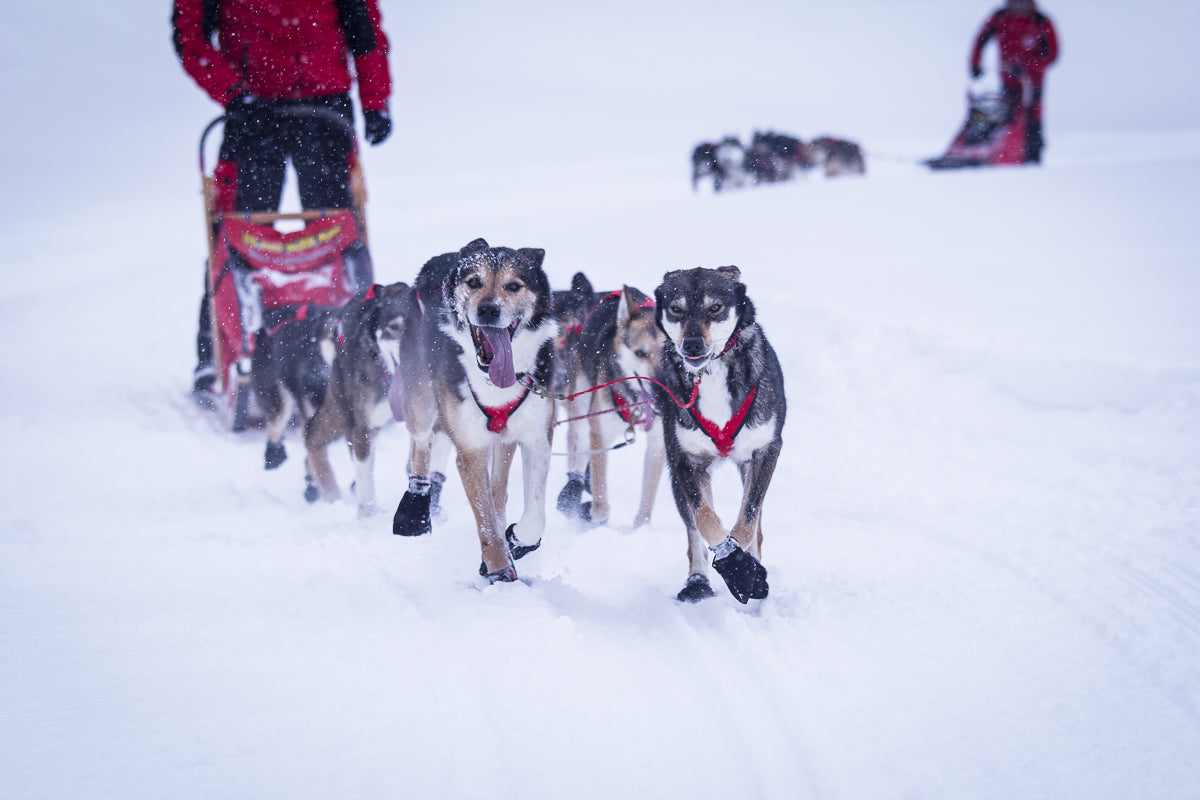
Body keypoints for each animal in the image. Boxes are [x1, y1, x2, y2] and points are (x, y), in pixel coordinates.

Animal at [302, 284, 424, 515]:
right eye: (394, 327)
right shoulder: (362, 429)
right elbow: (364, 475)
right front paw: (369, 515)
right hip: (349, 415)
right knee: (313, 433)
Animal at [396, 237, 559, 582]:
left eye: (514, 285)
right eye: (474, 282)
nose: (488, 309)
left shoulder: (537, 436)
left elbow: (534, 514)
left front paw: (516, 540)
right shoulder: (470, 449)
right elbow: (484, 521)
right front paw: (499, 570)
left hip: (503, 440)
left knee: (497, 489)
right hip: (421, 399)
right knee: (421, 443)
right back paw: (415, 505)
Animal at [559, 287, 672, 532]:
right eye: (640, 353)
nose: (662, 394)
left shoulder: (657, 443)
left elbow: (648, 496)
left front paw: (640, 530)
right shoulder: (599, 433)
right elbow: (600, 489)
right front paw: (596, 516)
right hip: (582, 406)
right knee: (577, 444)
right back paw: (573, 488)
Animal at [652, 266, 782, 604]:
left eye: (715, 308)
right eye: (676, 309)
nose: (692, 344)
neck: (710, 374)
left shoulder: (765, 452)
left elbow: (748, 519)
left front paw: (745, 568)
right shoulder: (686, 462)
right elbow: (705, 519)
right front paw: (734, 565)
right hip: (678, 479)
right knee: (693, 529)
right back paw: (697, 580)